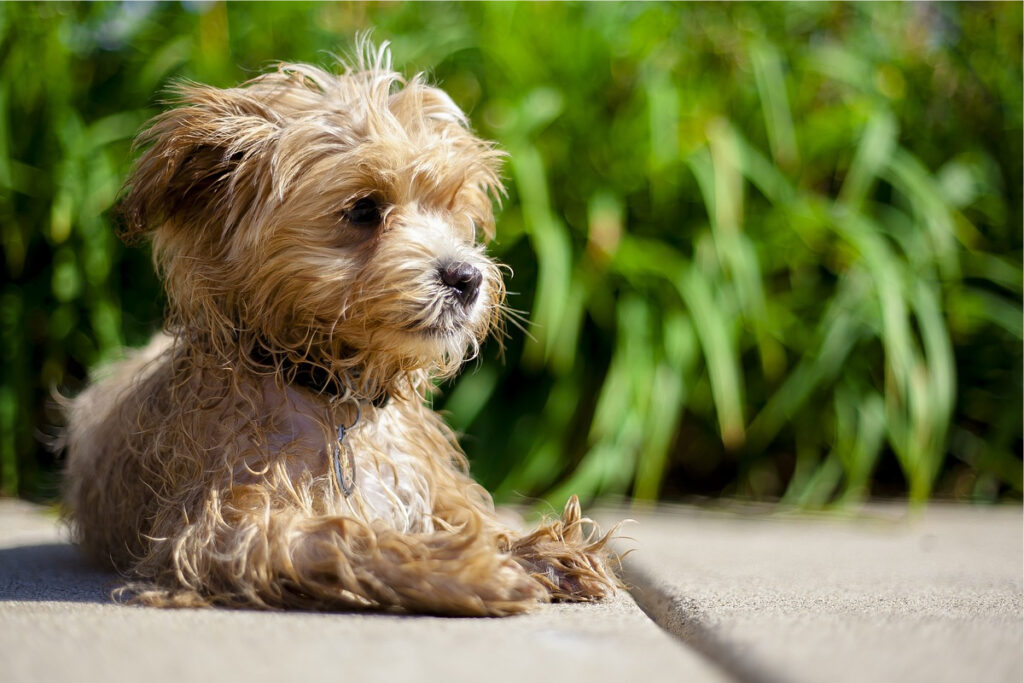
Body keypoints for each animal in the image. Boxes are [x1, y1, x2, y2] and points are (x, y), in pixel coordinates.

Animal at [66, 44, 622, 618]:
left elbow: (468, 513)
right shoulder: (225, 526)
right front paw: (468, 569)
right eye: (363, 209)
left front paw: (542, 550)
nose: (466, 278)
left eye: (451, 206)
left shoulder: (429, 478)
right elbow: (343, 535)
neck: (334, 395)